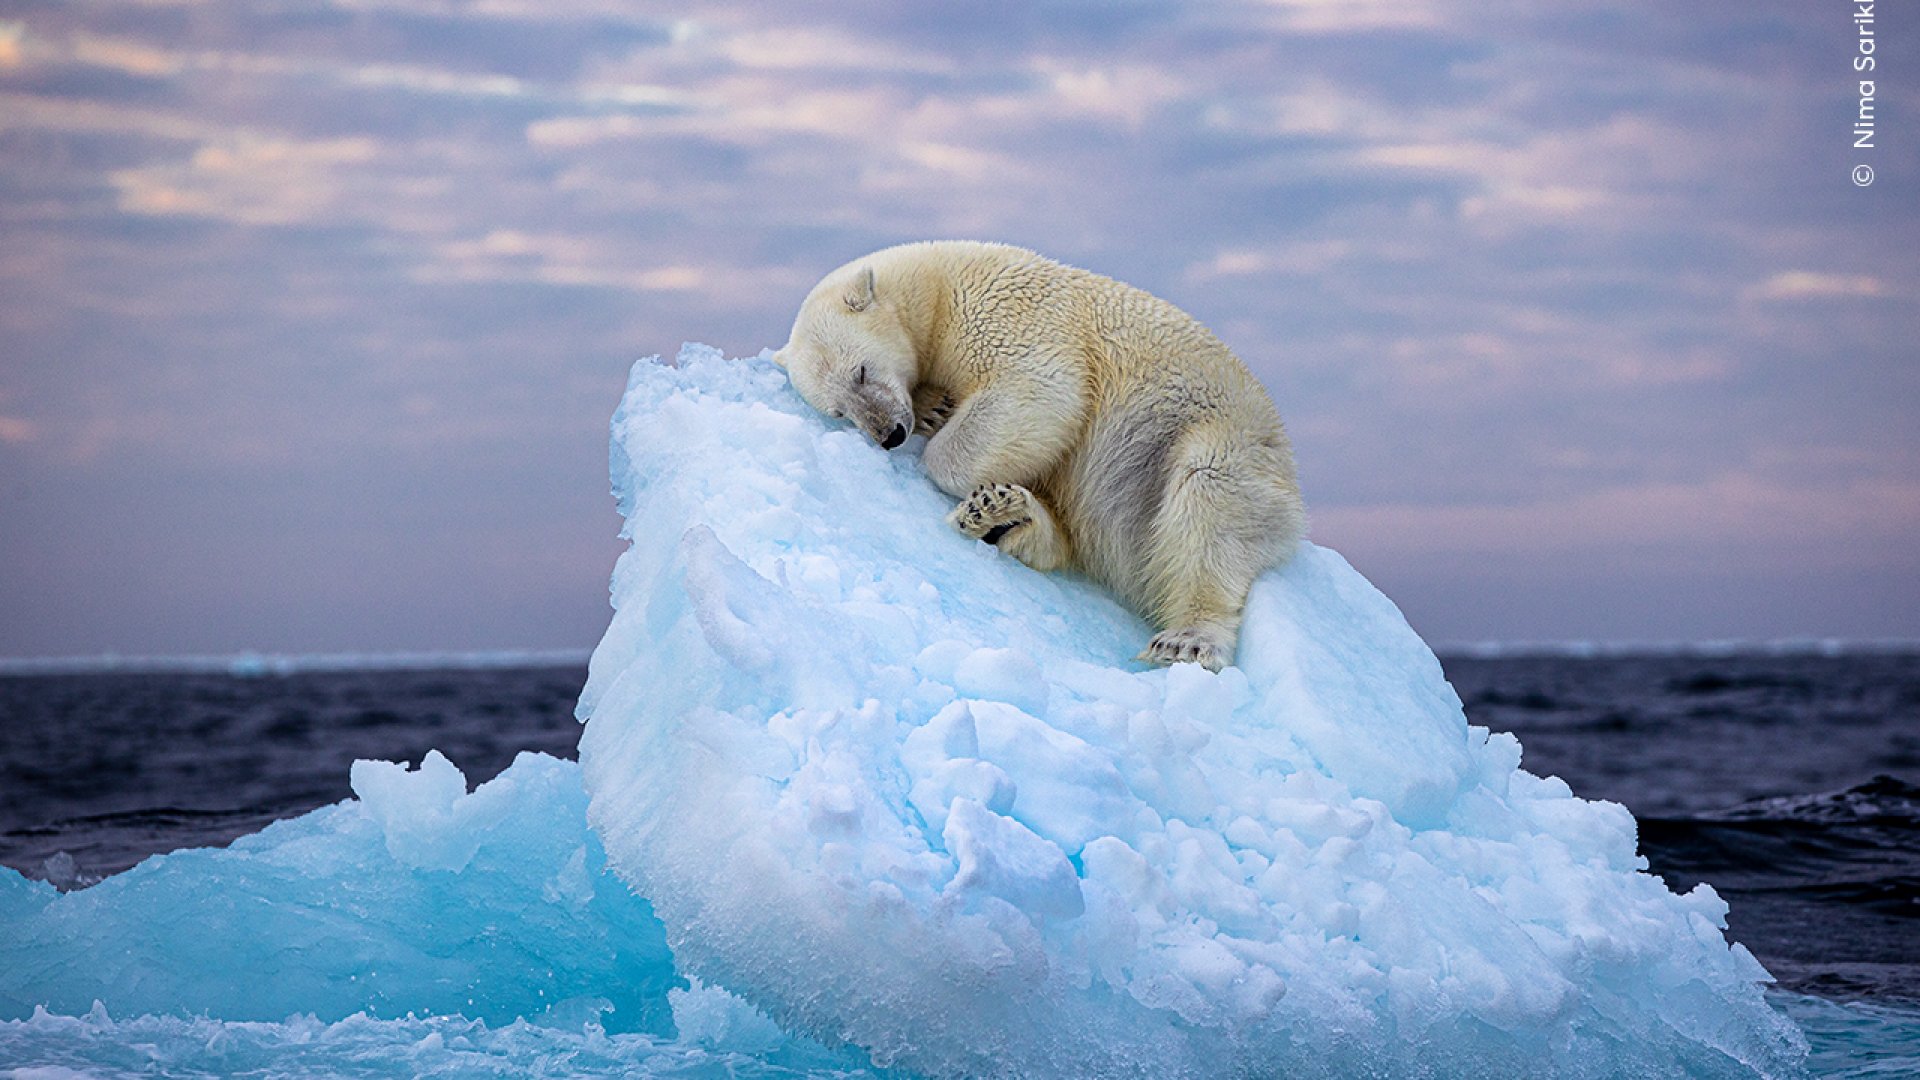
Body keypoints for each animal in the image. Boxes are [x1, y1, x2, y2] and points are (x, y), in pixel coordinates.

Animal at [773, 240, 1306, 672]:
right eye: (839, 411)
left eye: (861, 371)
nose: (889, 434)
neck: (938, 287)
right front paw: (933, 408)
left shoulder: (1007, 314)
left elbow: (1040, 389)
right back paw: (1004, 516)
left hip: (1212, 439)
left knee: (1208, 504)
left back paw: (1186, 640)